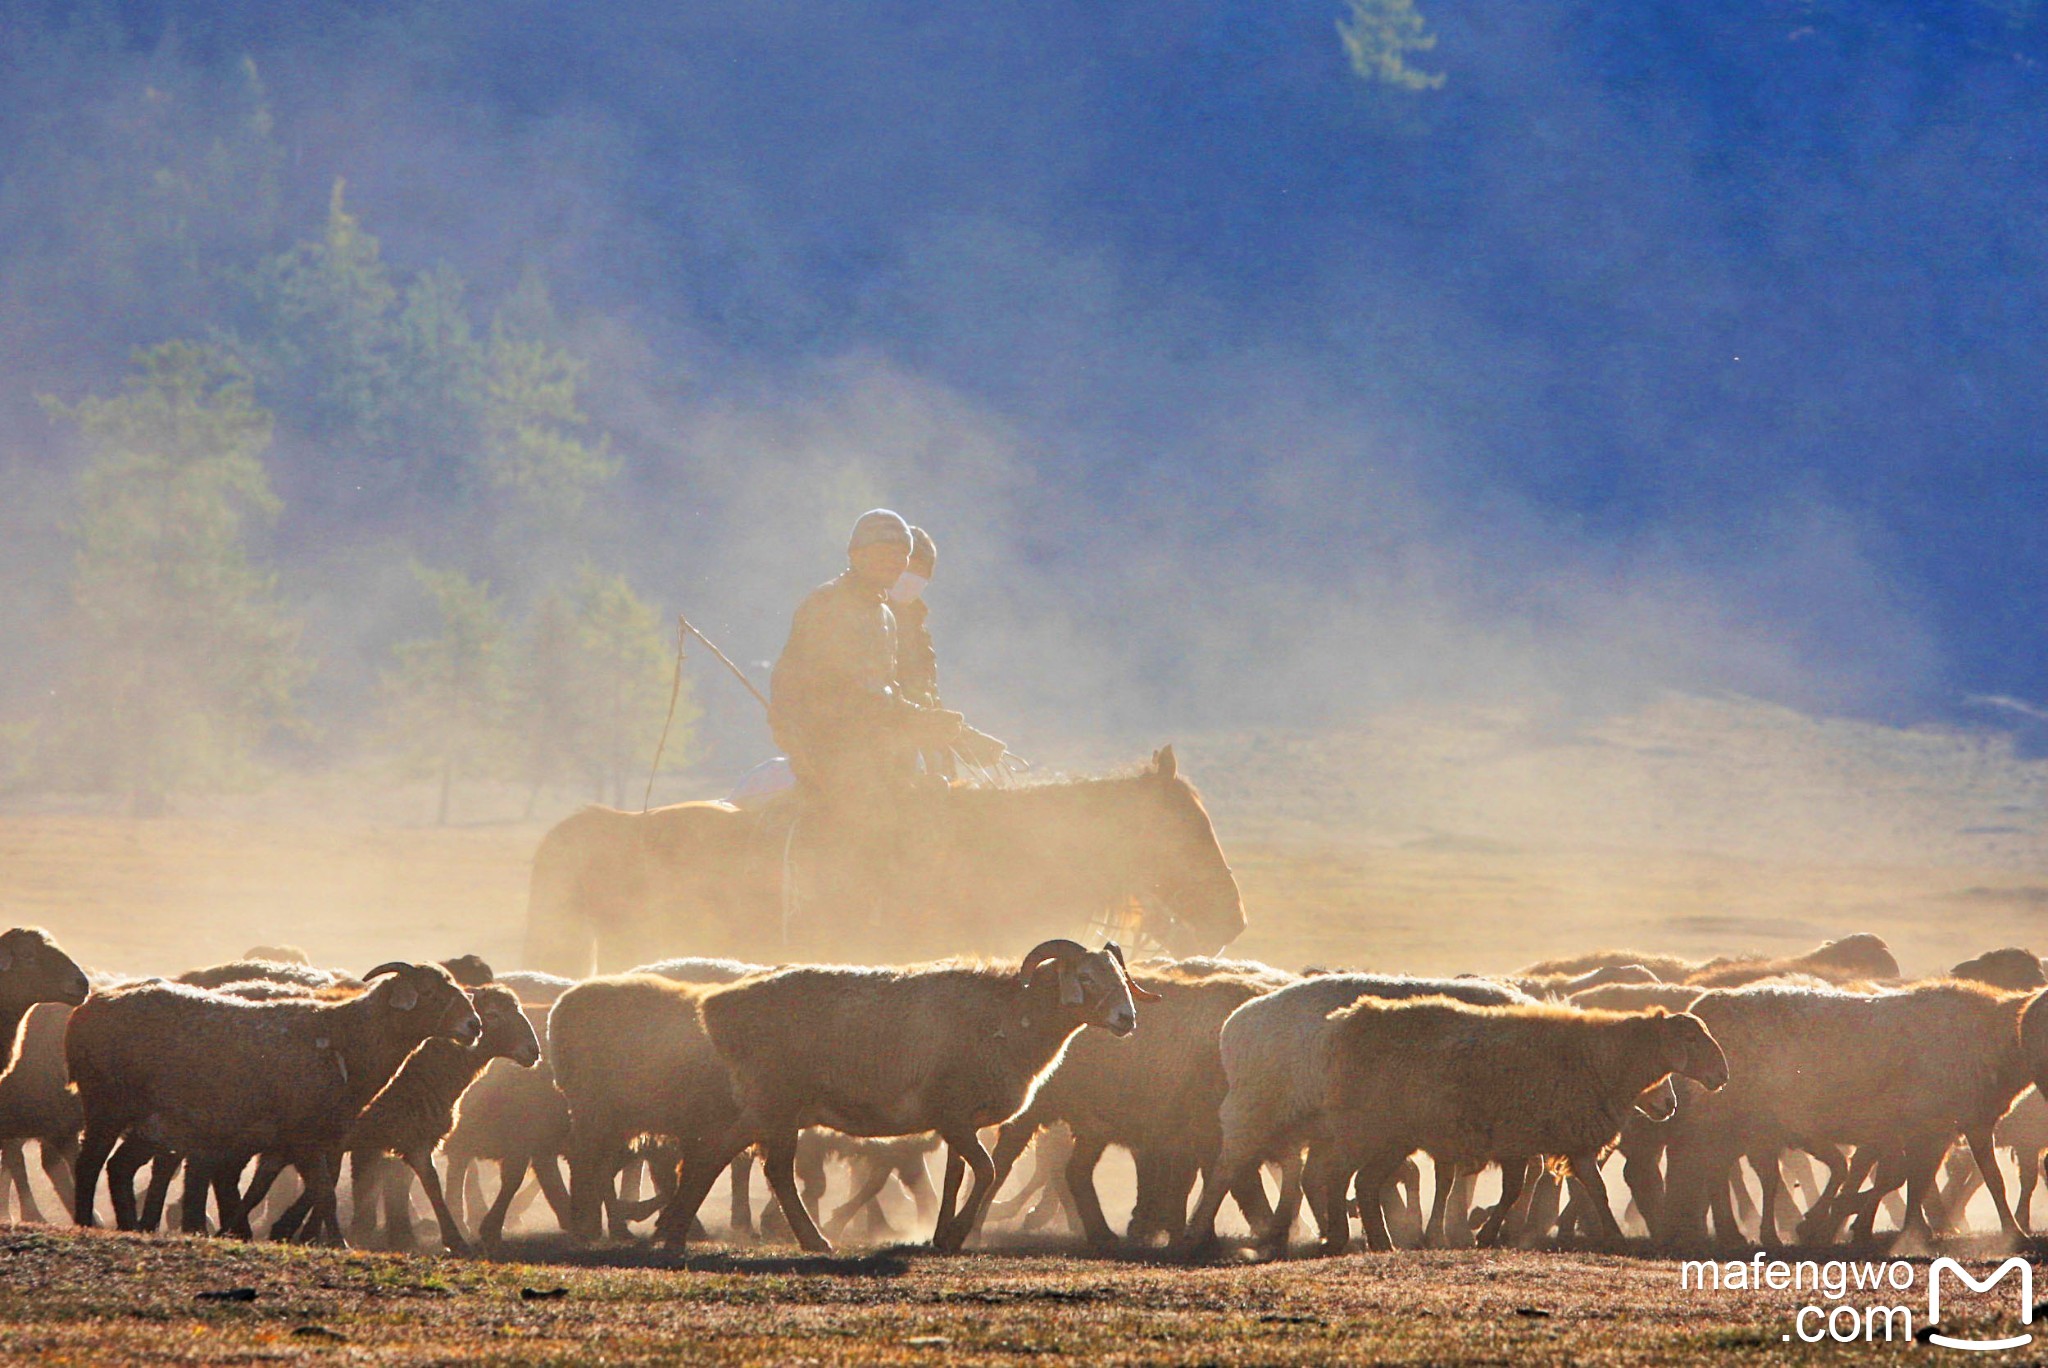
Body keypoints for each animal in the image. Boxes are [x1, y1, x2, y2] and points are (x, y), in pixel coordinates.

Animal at [659, 942, 1155, 1253]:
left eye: (1121, 976)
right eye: (1086, 977)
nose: (1126, 1018)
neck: (1011, 1018)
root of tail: (716, 1006)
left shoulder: (961, 1120)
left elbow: (958, 1176)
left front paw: (941, 1235)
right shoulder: (953, 1113)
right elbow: (988, 1170)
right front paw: (954, 1236)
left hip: (763, 1106)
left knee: (711, 1154)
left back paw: (676, 1233)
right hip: (777, 1102)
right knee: (772, 1170)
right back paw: (812, 1239)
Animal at [1171, 966, 1540, 1253]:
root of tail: (1234, 1023)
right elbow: (1490, 1179)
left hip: (1314, 1125)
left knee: (1307, 1175)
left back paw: (1323, 1232)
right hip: (1253, 1111)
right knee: (1226, 1170)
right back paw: (1197, 1233)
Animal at [1310, 995, 1728, 1253]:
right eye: (1690, 1038)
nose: (1722, 1075)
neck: (1604, 1059)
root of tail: (1348, 1021)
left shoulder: (1558, 1140)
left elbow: (1590, 1190)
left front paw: (1613, 1236)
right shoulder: (1520, 1137)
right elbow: (1520, 1190)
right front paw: (1487, 1234)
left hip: (1390, 1136)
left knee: (1364, 1183)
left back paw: (1382, 1242)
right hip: (1365, 1127)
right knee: (1335, 1176)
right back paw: (1338, 1237)